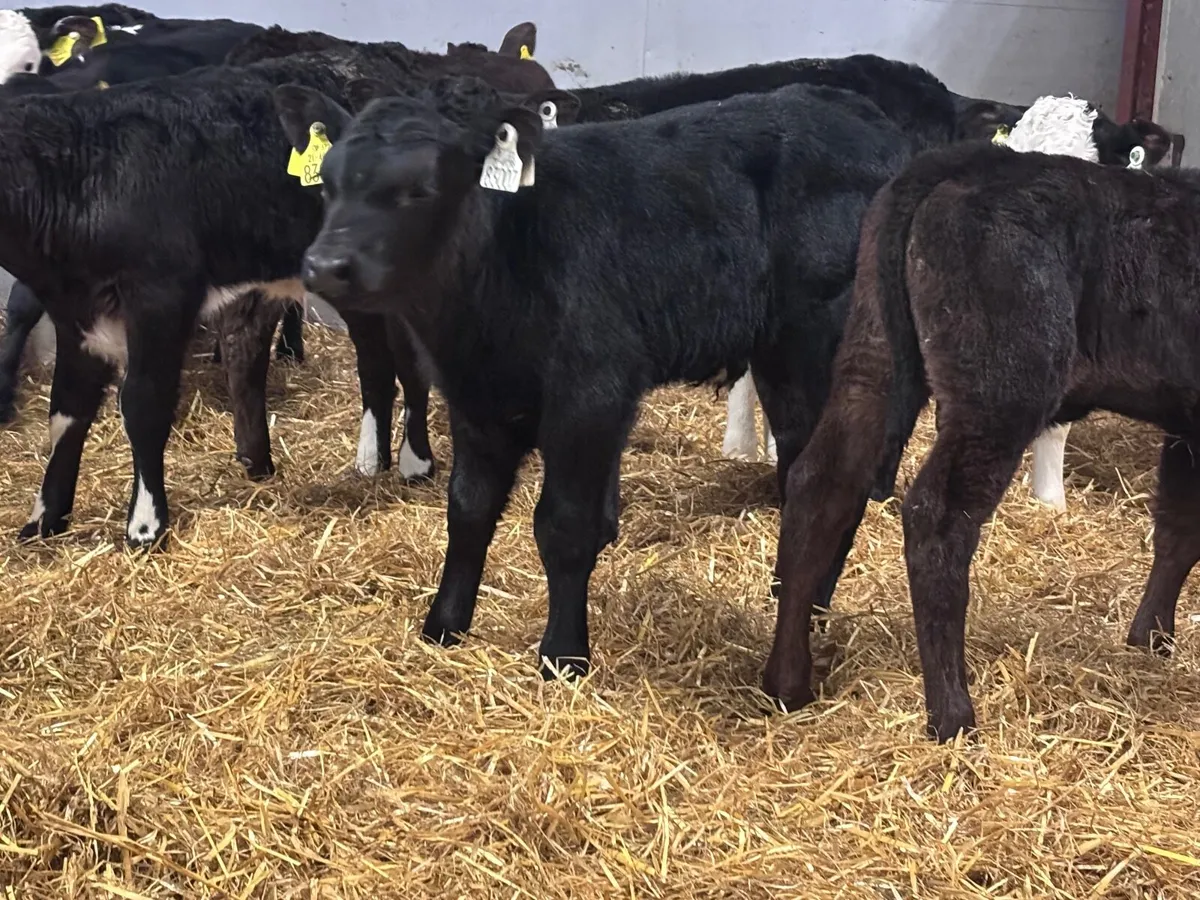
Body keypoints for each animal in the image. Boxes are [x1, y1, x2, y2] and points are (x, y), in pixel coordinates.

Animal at [0, 32, 562, 552]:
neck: (86, 173)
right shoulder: (76, 312)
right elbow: (66, 411)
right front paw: (44, 518)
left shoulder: (161, 297)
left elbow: (143, 404)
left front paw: (144, 525)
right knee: (352, 355)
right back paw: (338, 459)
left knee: (407, 362)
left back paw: (413, 460)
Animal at [766, 140, 1200, 742]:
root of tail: (970, 160)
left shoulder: (1187, 427)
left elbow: (1179, 530)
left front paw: (1152, 640)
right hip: (1000, 390)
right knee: (938, 515)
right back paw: (952, 715)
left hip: (872, 360)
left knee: (820, 484)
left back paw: (788, 683)